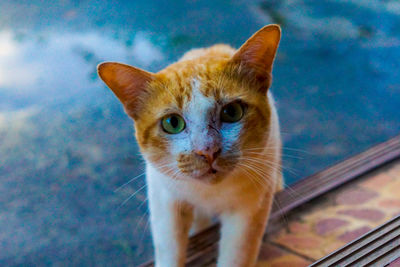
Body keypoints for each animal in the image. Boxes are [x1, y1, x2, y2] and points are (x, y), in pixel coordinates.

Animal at [98, 24, 282, 266]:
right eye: (172, 123)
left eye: (232, 112)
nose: (208, 151)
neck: (208, 193)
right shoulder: (165, 201)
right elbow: (169, 251)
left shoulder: (250, 208)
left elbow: (236, 256)